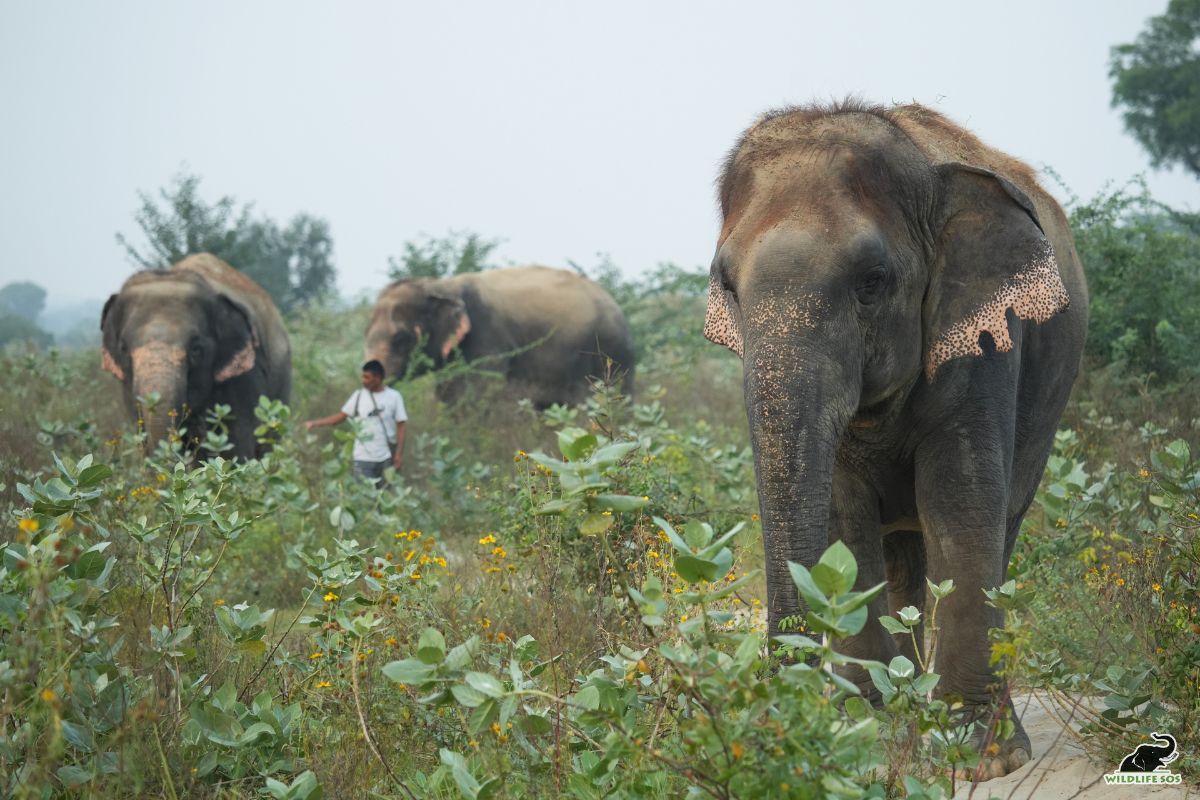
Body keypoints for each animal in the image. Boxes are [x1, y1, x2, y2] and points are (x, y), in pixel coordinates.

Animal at [365, 265, 634, 406]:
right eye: (365, 336)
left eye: (401, 338)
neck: (442, 285)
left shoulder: (487, 338)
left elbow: (478, 396)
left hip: (611, 350)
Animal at [704, 101, 1088, 779]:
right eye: (727, 284)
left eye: (872, 281)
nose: (776, 713)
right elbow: (844, 518)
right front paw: (865, 731)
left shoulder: (984, 342)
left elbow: (959, 502)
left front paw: (980, 756)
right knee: (904, 554)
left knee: (998, 527)